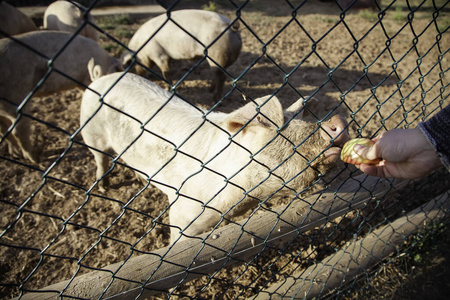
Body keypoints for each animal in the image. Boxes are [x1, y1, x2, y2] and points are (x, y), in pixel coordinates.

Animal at [0, 30, 123, 163]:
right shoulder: (85, 78)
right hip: (15, 95)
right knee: (17, 130)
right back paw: (34, 159)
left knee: (4, 128)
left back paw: (16, 153)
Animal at [80, 73, 348, 244]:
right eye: (282, 130)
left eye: (303, 122)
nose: (338, 120)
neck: (245, 196)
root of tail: (100, 79)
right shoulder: (182, 212)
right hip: (91, 133)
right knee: (100, 159)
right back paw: (102, 186)